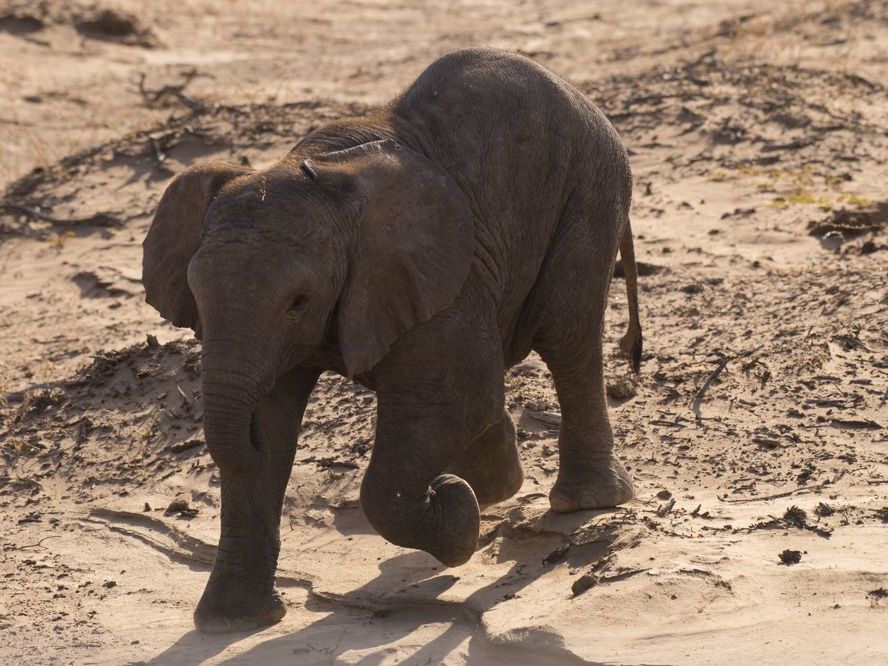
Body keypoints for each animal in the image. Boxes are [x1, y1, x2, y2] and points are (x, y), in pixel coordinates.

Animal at [142, 48, 642, 633]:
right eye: (195, 296)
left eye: (299, 301)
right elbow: (273, 419)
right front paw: (233, 624)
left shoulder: (437, 273)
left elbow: (455, 398)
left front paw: (459, 515)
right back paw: (497, 485)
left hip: (588, 189)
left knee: (566, 335)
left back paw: (576, 503)